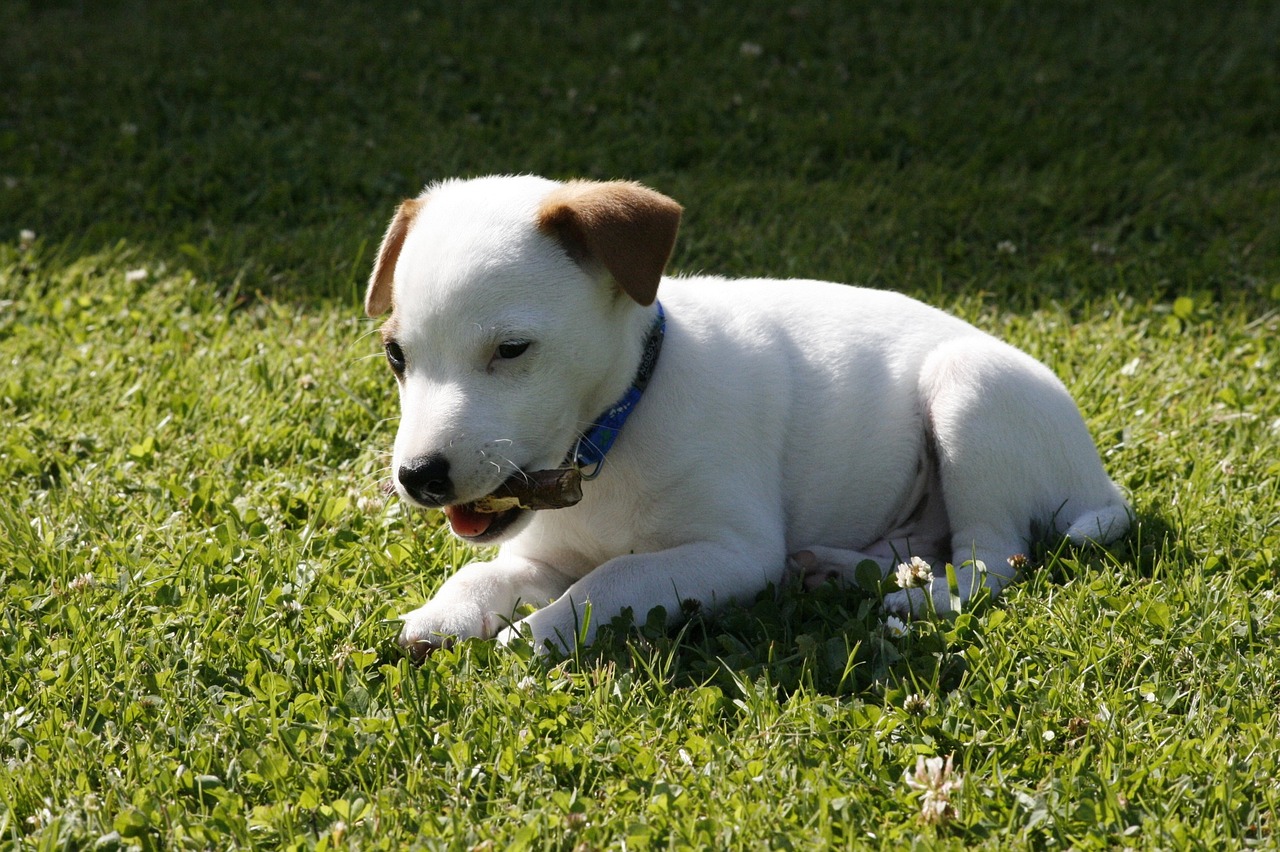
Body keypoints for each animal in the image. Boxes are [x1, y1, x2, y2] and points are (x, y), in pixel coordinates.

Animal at [363, 172, 1131, 649]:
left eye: (513, 349)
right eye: (396, 355)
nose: (419, 478)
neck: (618, 427)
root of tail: (1100, 480)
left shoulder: (731, 551)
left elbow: (613, 578)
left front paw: (541, 632)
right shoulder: (544, 550)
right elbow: (485, 571)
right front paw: (444, 612)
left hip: (972, 394)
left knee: (990, 561)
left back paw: (918, 598)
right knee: (920, 545)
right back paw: (837, 568)